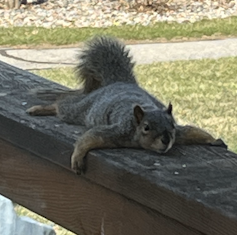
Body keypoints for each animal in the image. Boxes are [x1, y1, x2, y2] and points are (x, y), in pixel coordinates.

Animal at [26, 35, 227, 174]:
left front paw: (214, 140)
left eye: (172, 126)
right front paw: (77, 159)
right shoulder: (117, 132)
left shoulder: (180, 134)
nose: (166, 140)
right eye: (146, 128)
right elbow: (89, 138)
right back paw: (41, 109)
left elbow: (194, 131)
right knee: (63, 106)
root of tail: (119, 82)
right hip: (81, 109)